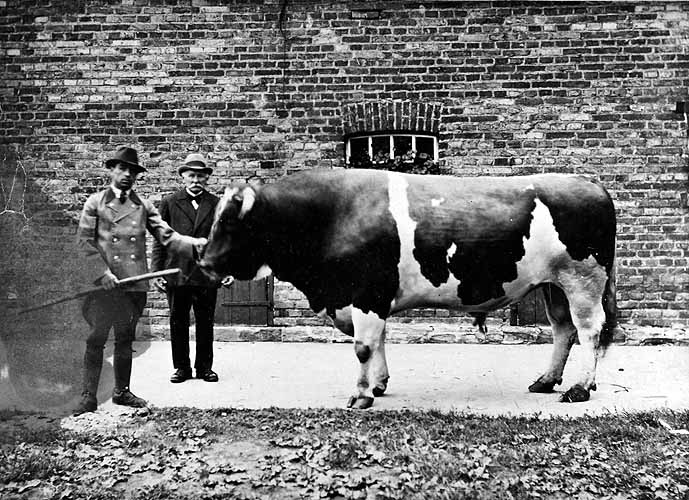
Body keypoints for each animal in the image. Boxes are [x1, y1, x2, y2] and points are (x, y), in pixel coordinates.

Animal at [198, 170, 612, 408]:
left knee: (589, 331)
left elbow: (363, 346)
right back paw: (547, 381)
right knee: (562, 329)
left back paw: (579, 388)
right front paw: (379, 384)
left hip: (583, 280)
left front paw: (361, 395)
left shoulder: (366, 292)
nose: (203, 261)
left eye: (230, 223)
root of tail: (588, 182)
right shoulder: (372, 297)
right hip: (553, 285)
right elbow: (379, 339)